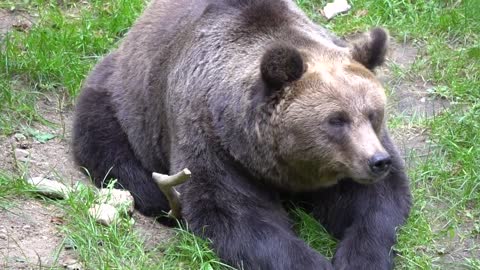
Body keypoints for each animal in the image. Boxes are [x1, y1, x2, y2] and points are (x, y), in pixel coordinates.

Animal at [73, 1, 410, 268]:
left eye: (372, 113)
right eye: (336, 120)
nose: (377, 161)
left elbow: (378, 202)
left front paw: (359, 257)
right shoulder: (212, 142)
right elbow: (238, 216)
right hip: (126, 98)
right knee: (109, 147)